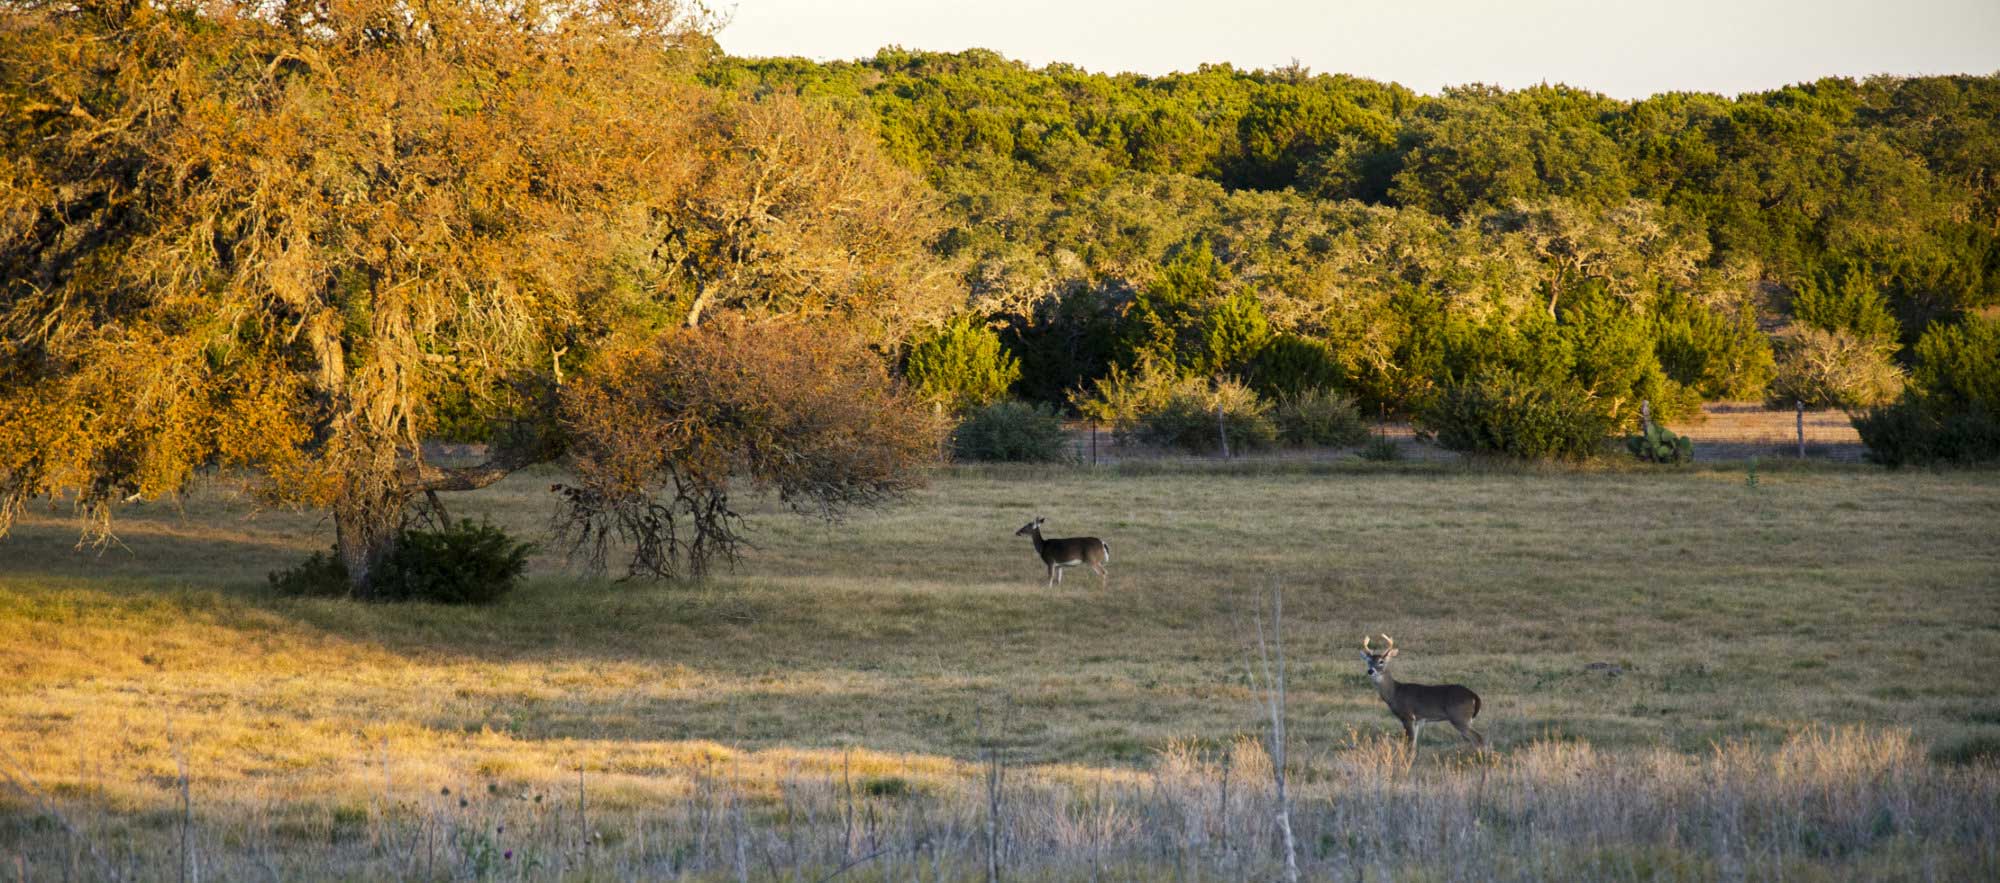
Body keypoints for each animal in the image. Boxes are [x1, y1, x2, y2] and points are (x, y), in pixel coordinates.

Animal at [1360, 635, 1488, 751]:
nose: (1370, 671)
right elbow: (1414, 744)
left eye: (1381, 661)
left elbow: (1410, 744)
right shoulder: (1418, 720)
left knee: (1478, 738)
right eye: (1368, 661)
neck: (1395, 693)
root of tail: (1474, 696)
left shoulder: (1407, 716)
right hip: (1466, 719)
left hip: (1459, 717)